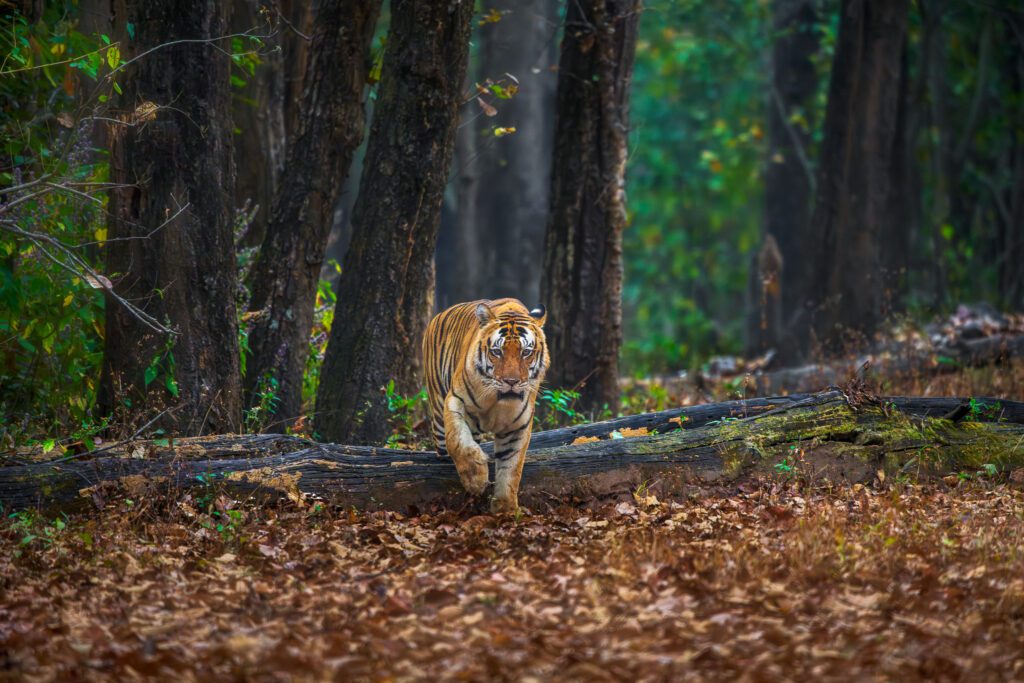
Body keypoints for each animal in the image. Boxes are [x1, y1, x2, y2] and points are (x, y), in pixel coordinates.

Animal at [422, 298, 549, 513]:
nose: (511, 381)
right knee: (444, 444)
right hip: (438, 412)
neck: (498, 401)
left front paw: (506, 509)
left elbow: (511, 468)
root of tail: (438, 315)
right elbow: (457, 441)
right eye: (497, 352)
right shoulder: (455, 400)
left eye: (526, 352)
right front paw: (475, 479)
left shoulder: (518, 426)